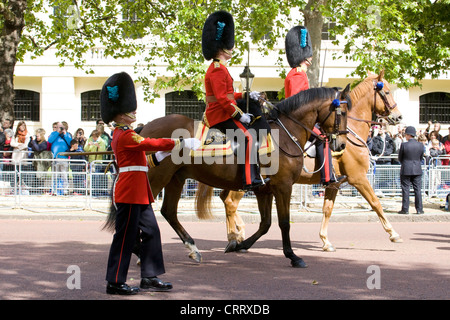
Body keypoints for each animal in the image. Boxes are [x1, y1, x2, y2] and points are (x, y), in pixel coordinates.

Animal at [108, 85, 352, 268]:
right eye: (343, 113)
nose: (341, 145)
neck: (285, 135)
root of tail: (142, 129)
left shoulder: (264, 189)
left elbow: (265, 223)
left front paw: (239, 245)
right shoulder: (283, 186)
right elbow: (284, 223)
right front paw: (293, 256)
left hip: (176, 178)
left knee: (168, 211)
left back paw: (192, 249)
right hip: (155, 177)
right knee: (136, 209)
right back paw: (138, 251)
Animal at [199, 70, 402, 252]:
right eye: (387, 91)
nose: (398, 116)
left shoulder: (334, 183)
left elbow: (327, 209)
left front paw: (325, 240)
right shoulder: (358, 177)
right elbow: (375, 203)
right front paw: (393, 234)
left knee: (224, 198)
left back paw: (236, 236)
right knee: (230, 202)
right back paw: (235, 237)